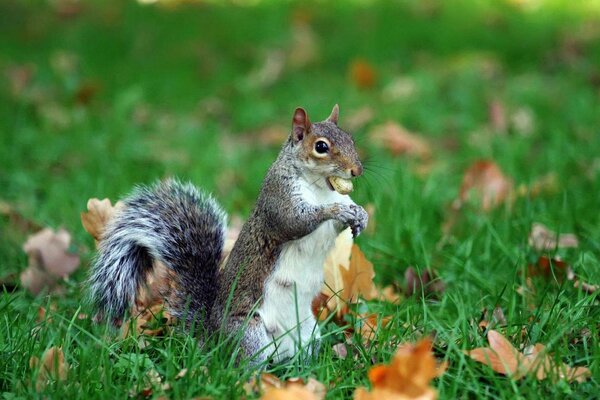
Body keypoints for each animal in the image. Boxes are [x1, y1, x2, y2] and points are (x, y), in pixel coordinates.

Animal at [89, 104, 368, 364]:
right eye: (321, 147)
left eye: (351, 139)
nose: (356, 170)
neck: (321, 187)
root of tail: (213, 339)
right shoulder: (278, 198)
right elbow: (295, 222)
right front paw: (337, 210)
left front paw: (360, 215)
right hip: (249, 334)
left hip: (309, 333)